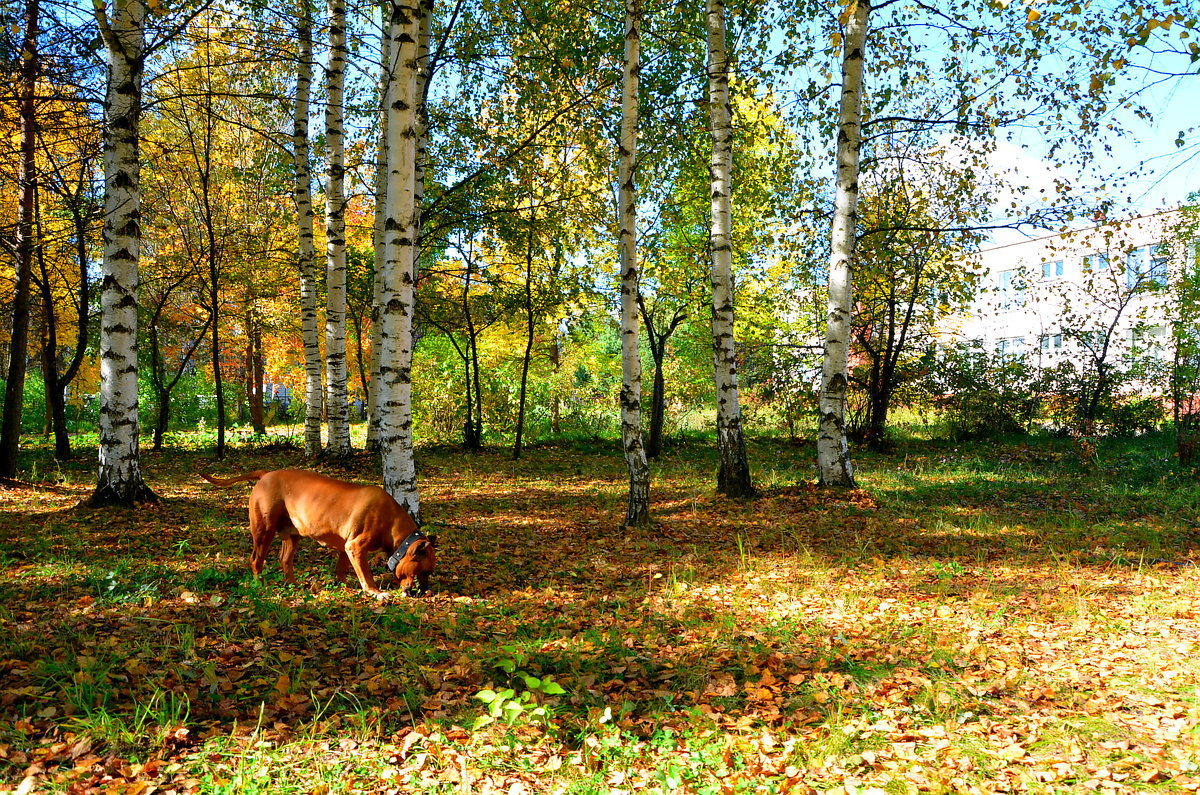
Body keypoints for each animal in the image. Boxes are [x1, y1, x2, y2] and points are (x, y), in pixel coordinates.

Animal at [199, 470, 434, 595]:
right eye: (423, 572)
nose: (426, 591)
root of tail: (265, 475)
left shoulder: (346, 547)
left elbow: (341, 568)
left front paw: (343, 585)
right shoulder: (355, 547)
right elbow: (366, 574)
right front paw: (374, 592)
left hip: (292, 534)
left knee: (285, 560)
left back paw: (293, 584)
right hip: (263, 530)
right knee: (256, 560)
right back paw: (261, 585)